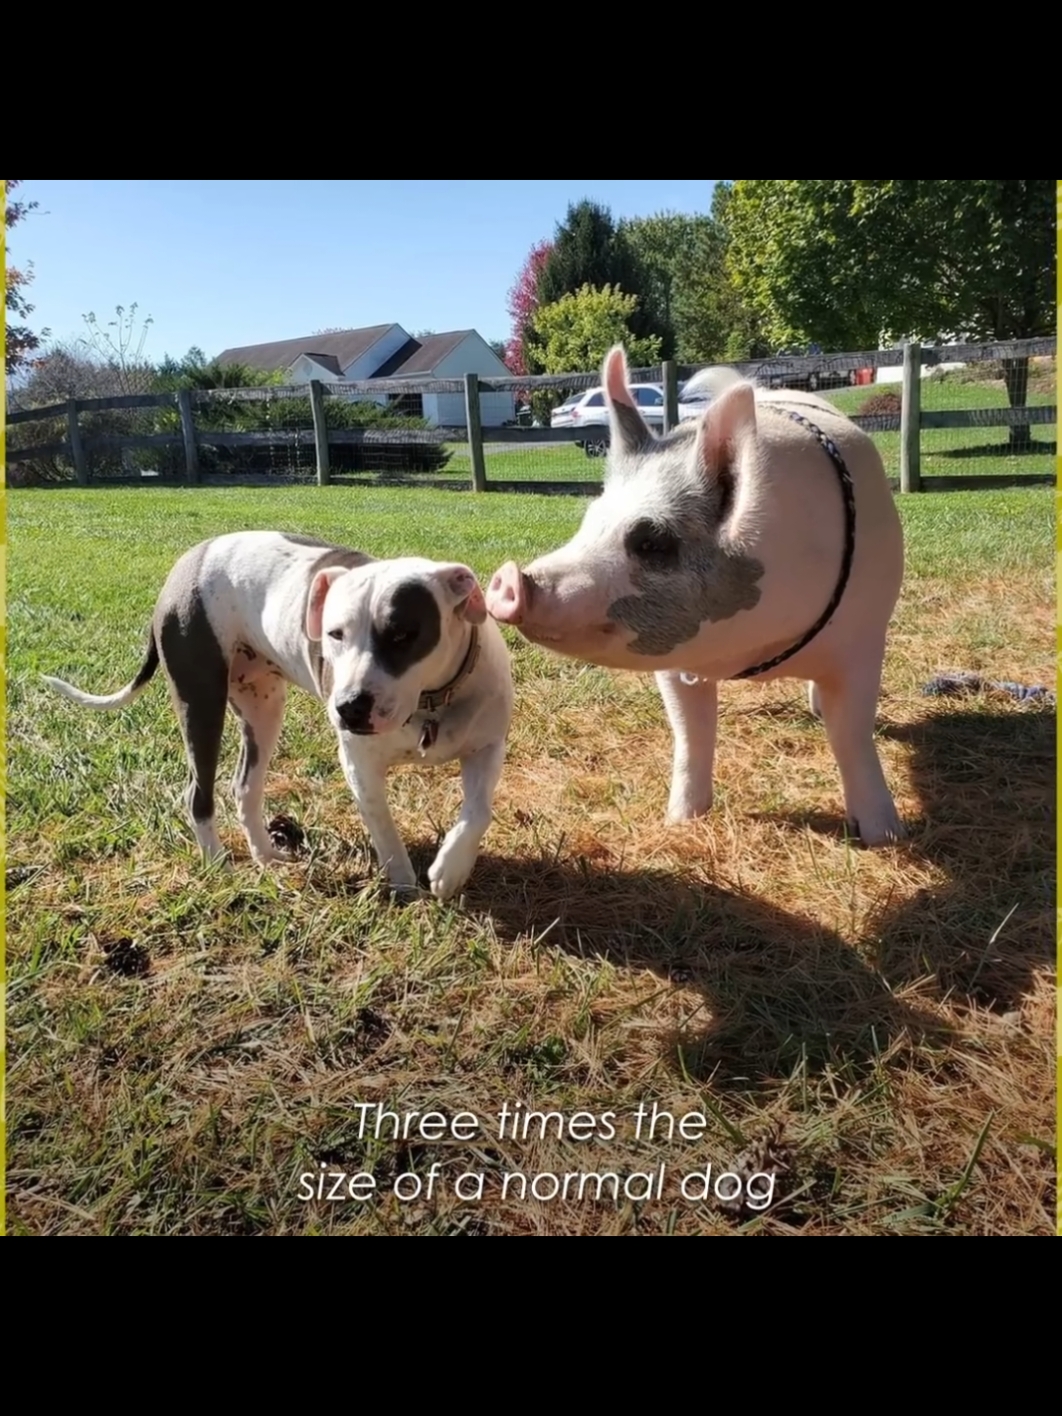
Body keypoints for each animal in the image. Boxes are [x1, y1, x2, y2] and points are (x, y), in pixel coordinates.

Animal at [43, 526, 518, 900]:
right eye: (335, 634)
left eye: (403, 634)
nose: (349, 707)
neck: (431, 702)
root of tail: (187, 563)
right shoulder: (360, 765)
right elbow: (385, 831)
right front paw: (406, 888)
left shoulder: (487, 747)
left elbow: (478, 812)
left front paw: (449, 869)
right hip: (201, 701)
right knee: (198, 794)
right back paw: (219, 864)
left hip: (262, 709)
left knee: (244, 787)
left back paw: (267, 856)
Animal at [487, 346, 911, 843]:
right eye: (590, 520)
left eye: (652, 543)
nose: (510, 579)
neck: (754, 651)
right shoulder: (676, 667)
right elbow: (691, 732)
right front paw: (680, 819)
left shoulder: (864, 640)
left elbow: (851, 735)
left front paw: (883, 836)